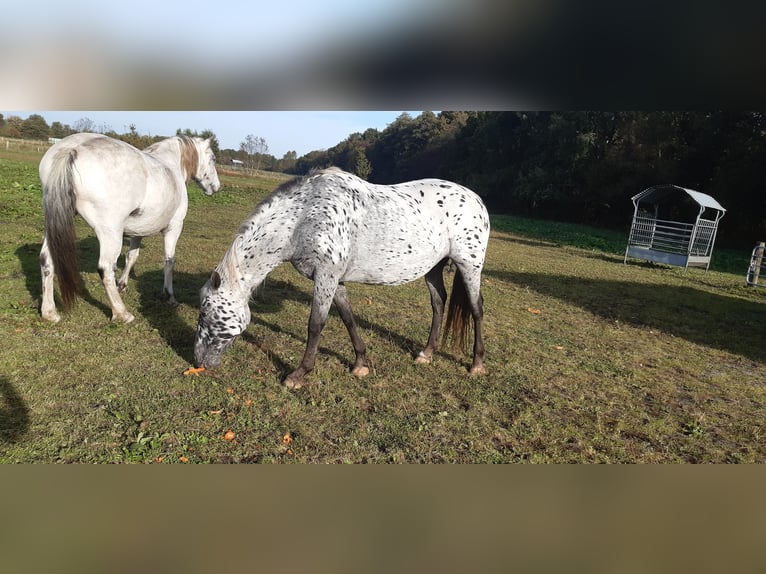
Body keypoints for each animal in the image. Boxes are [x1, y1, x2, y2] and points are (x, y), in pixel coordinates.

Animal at [39, 133, 220, 326]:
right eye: (213, 158)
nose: (216, 187)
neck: (170, 165)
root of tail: (73, 149)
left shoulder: (137, 232)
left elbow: (131, 257)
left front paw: (122, 285)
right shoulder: (174, 227)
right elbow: (169, 261)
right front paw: (169, 296)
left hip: (55, 227)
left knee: (46, 260)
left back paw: (49, 312)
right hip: (110, 234)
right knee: (105, 268)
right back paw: (122, 313)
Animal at [194, 168, 492, 392]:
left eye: (205, 312)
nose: (198, 361)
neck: (303, 217)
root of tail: (476, 200)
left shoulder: (325, 276)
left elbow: (316, 325)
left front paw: (298, 375)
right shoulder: (333, 279)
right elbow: (348, 318)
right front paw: (360, 364)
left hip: (470, 265)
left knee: (476, 308)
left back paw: (477, 364)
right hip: (433, 268)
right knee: (439, 303)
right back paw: (426, 354)